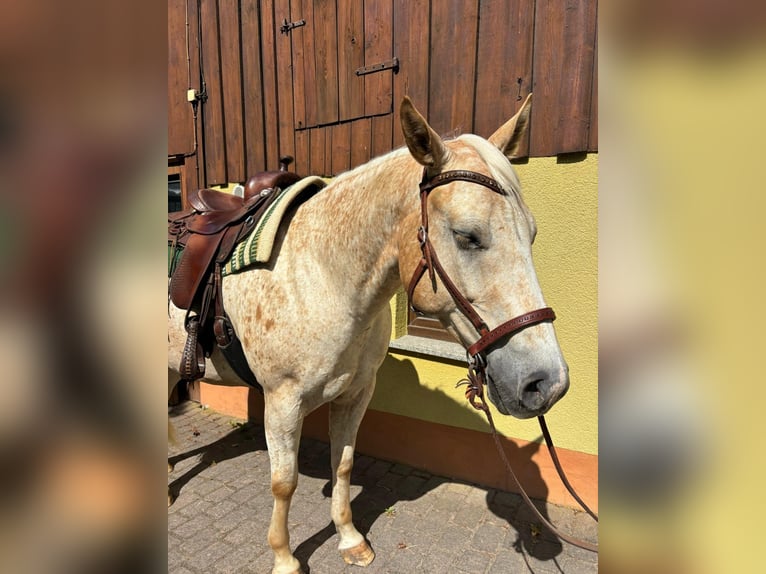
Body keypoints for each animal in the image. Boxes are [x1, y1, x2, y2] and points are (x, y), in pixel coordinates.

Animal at [168, 94, 570, 574]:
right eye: (467, 235)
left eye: (532, 234)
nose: (545, 383)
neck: (322, 274)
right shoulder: (282, 401)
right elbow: (284, 483)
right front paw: (284, 558)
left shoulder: (356, 393)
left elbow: (343, 464)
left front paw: (350, 540)